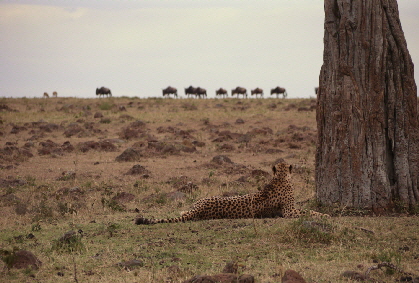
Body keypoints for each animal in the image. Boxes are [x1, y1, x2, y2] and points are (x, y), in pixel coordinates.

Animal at [136, 163, 330, 225]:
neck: (280, 177)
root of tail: (199, 209)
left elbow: (307, 210)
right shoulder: (289, 212)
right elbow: (308, 212)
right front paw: (325, 215)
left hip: (194, 206)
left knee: (184, 211)